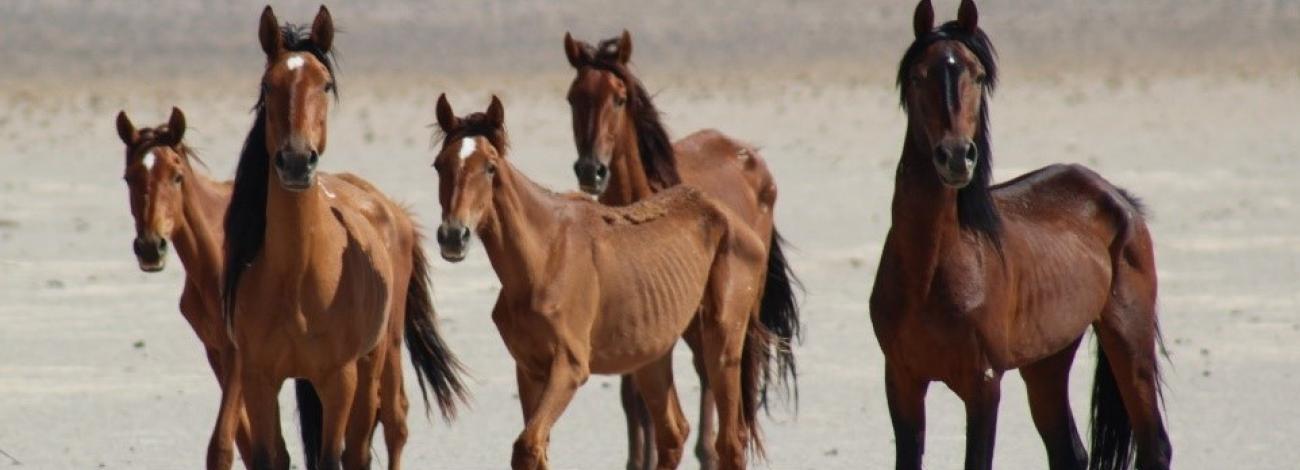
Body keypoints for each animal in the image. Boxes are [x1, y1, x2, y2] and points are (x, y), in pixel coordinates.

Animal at [215, 5, 470, 467]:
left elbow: (334, 455)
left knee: (388, 428)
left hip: (378, 357)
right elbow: (270, 456)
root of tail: (392, 211)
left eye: (325, 84)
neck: (297, 275)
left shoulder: (338, 379)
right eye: (268, 84)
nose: (297, 161)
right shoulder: (260, 377)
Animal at [426, 95, 769, 470]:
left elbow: (528, 446)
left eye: (490, 167)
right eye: (439, 165)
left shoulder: (570, 367)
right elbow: (537, 448)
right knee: (673, 433)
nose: (453, 236)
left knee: (730, 442)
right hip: (653, 355)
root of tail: (728, 216)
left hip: (722, 342)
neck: (544, 256)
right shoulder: (530, 369)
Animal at [566, 32, 806, 470]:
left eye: (619, 98)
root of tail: (749, 155)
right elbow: (634, 401)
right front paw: (637, 461)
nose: (591, 170)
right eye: (574, 97)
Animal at [868, 0, 1175, 470]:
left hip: (1128, 337)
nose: (956, 156)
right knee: (1068, 451)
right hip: (1047, 361)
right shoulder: (901, 380)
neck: (930, 272)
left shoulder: (983, 385)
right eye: (919, 75)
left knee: (1154, 444)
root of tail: (1116, 197)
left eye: (978, 75)